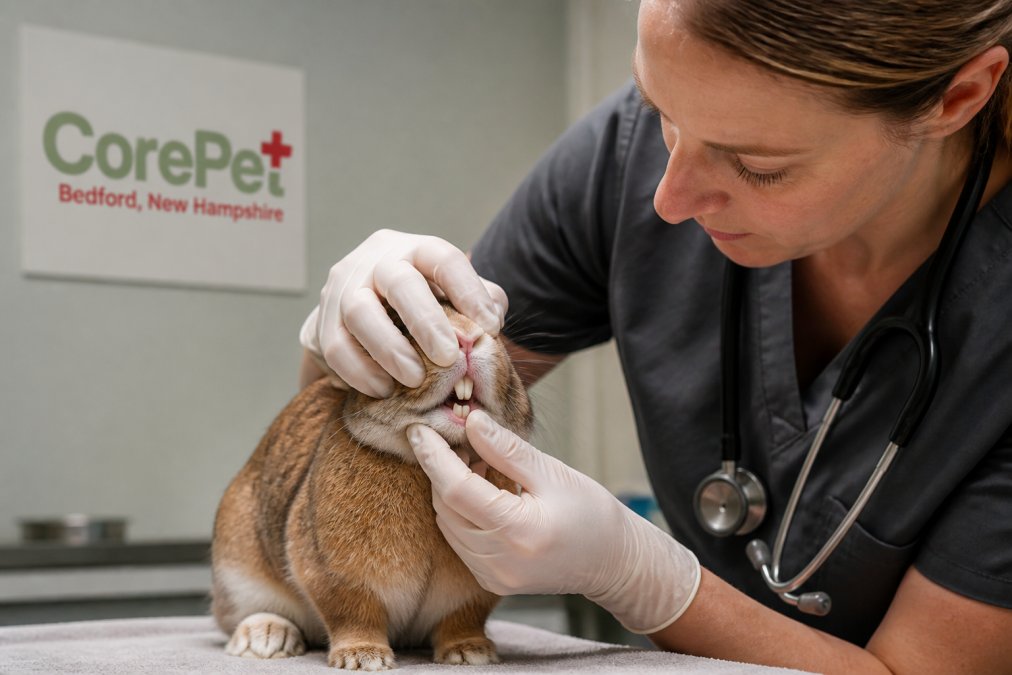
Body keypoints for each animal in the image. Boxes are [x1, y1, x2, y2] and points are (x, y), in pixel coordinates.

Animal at [210, 304, 533, 670]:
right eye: (399, 326)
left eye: (496, 331)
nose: (467, 338)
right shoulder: (336, 577)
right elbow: (354, 614)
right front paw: (363, 657)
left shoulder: (472, 595)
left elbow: (461, 620)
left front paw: (471, 652)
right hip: (238, 572)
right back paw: (264, 638)